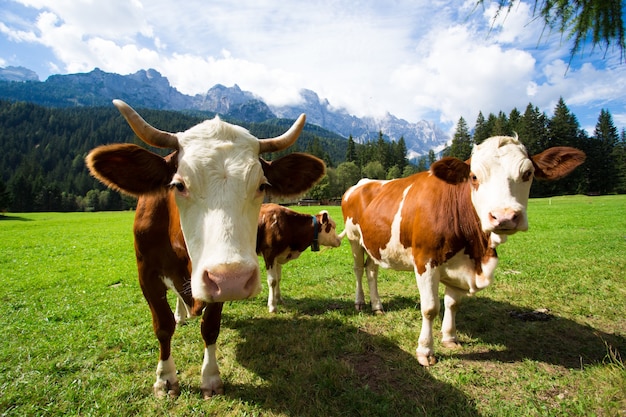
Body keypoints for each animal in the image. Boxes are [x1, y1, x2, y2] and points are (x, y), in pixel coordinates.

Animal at [86, 99, 324, 398]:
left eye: (261, 186)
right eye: (179, 185)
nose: (233, 279)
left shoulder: (217, 281)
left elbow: (210, 328)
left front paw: (210, 377)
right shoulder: (147, 272)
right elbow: (162, 326)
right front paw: (165, 378)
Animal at [338, 135, 584, 366]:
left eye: (528, 173)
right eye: (474, 176)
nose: (504, 216)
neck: (476, 251)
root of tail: (362, 182)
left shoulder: (460, 265)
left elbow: (452, 303)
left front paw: (449, 337)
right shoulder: (425, 261)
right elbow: (430, 308)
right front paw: (425, 351)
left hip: (374, 244)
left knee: (372, 271)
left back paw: (377, 306)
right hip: (354, 238)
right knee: (358, 269)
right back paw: (360, 302)